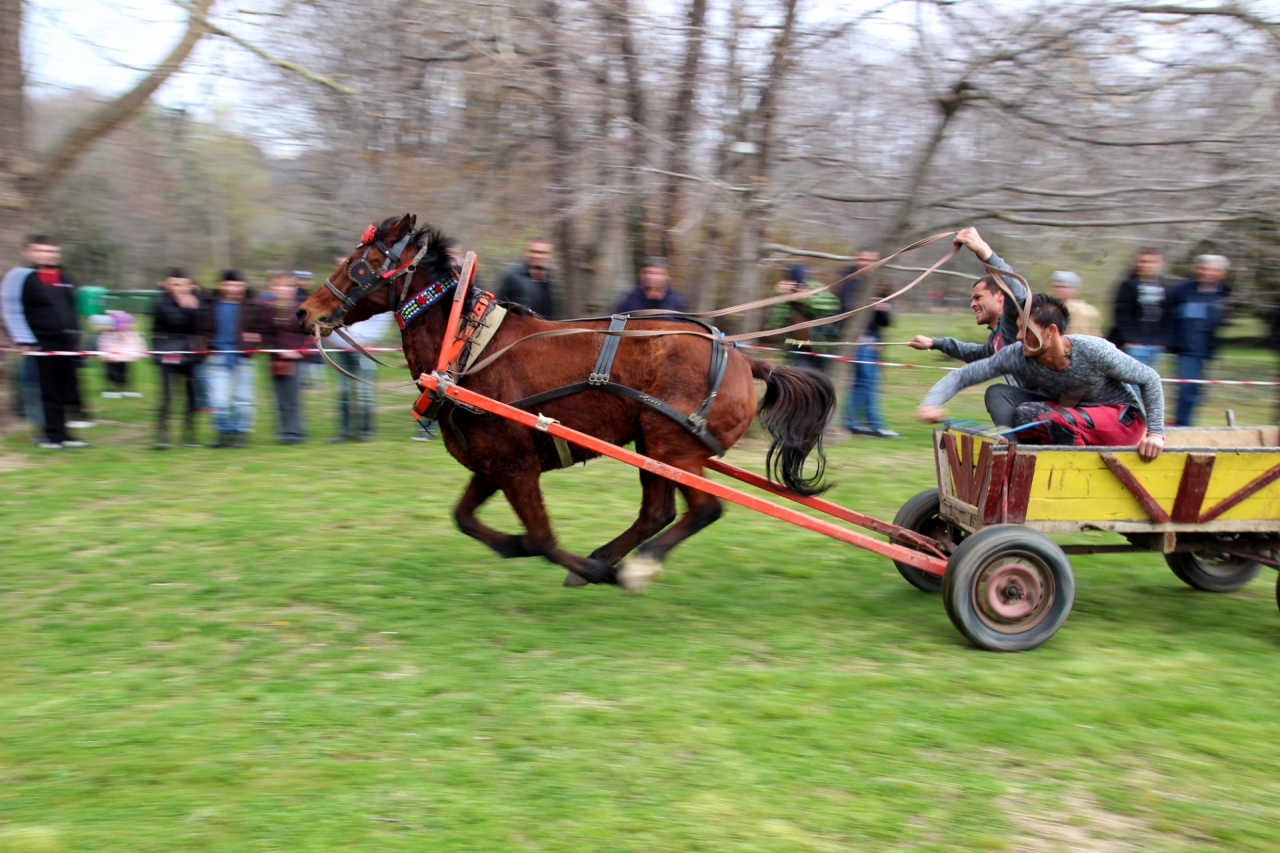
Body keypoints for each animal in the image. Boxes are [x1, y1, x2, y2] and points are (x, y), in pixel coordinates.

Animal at [299, 212, 839, 589]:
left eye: (357, 263)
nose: (305, 311)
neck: (468, 346)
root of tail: (745, 360)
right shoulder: (491, 464)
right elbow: (465, 519)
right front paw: (517, 547)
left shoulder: (516, 467)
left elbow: (542, 538)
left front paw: (580, 565)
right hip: (653, 446)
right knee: (657, 513)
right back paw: (608, 558)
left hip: (672, 446)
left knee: (702, 511)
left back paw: (629, 568)